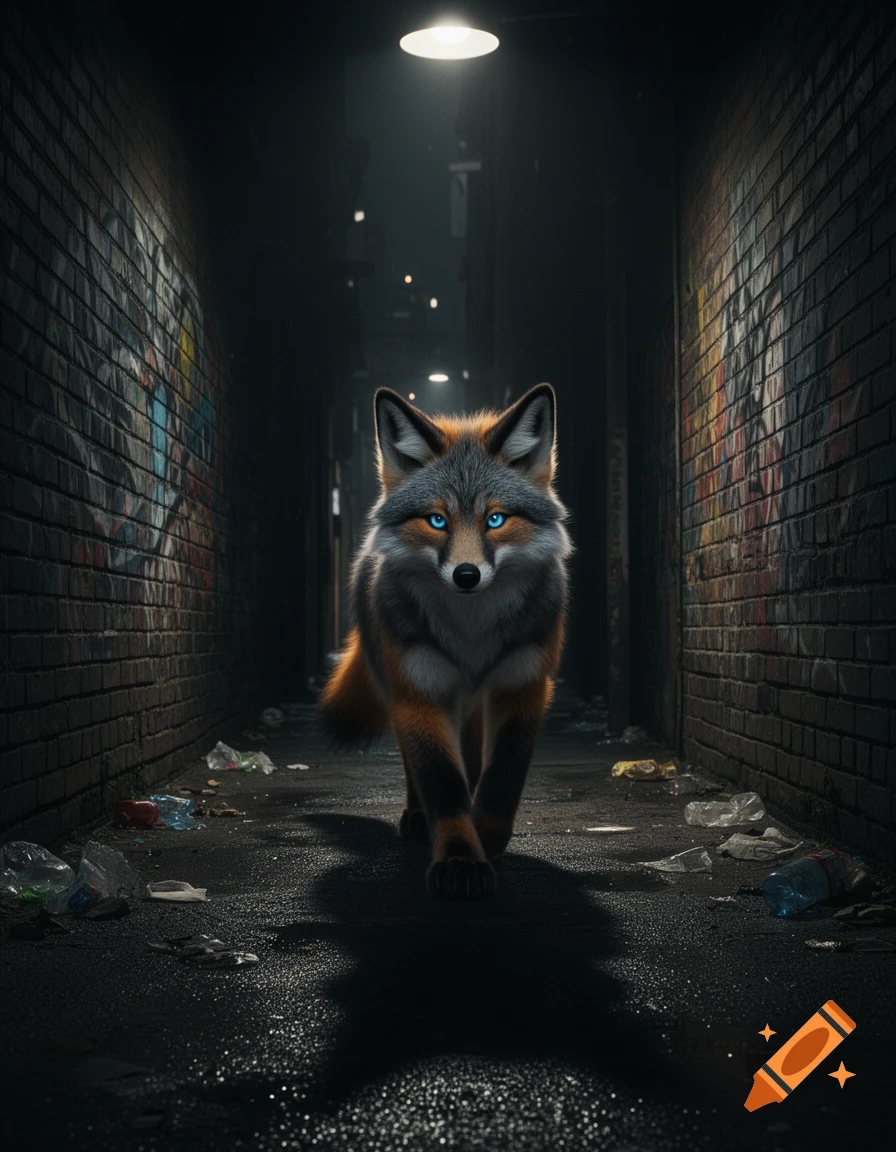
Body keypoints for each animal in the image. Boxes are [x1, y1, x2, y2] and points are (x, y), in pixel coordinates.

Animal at [318, 383, 572, 900]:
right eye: (437, 521)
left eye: (495, 519)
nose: (467, 576)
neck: (470, 632)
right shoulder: (421, 688)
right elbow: (442, 782)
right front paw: (460, 856)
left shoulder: (524, 684)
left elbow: (502, 776)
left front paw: (487, 836)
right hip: (405, 687)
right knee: (416, 766)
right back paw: (418, 817)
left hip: (472, 701)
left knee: (474, 758)